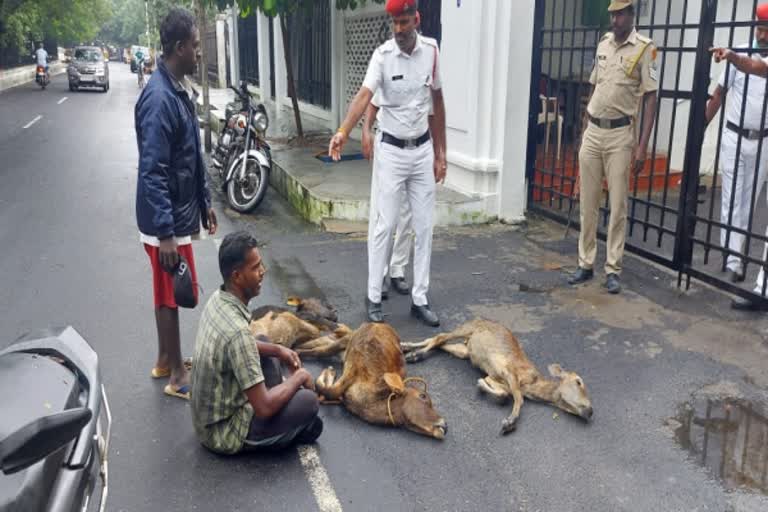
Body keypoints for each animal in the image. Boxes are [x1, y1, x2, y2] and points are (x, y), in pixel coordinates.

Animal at [316, 324, 448, 440]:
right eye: (423, 396)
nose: (445, 425)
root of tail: (378, 323)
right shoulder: (352, 367)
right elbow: (327, 390)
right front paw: (329, 371)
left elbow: (325, 394)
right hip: (350, 340)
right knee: (320, 349)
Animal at [402, 318, 592, 434]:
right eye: (579, 382)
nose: (590, 411)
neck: (532, 386)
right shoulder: (508, 371)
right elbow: (518, 398)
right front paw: (509, 422)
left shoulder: (496, 377)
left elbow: (504, 393)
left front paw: (481, 384)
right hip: (466, 328)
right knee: (440, 336)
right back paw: (414, 354)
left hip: (465, 350)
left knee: (439, 341)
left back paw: (406, 347)